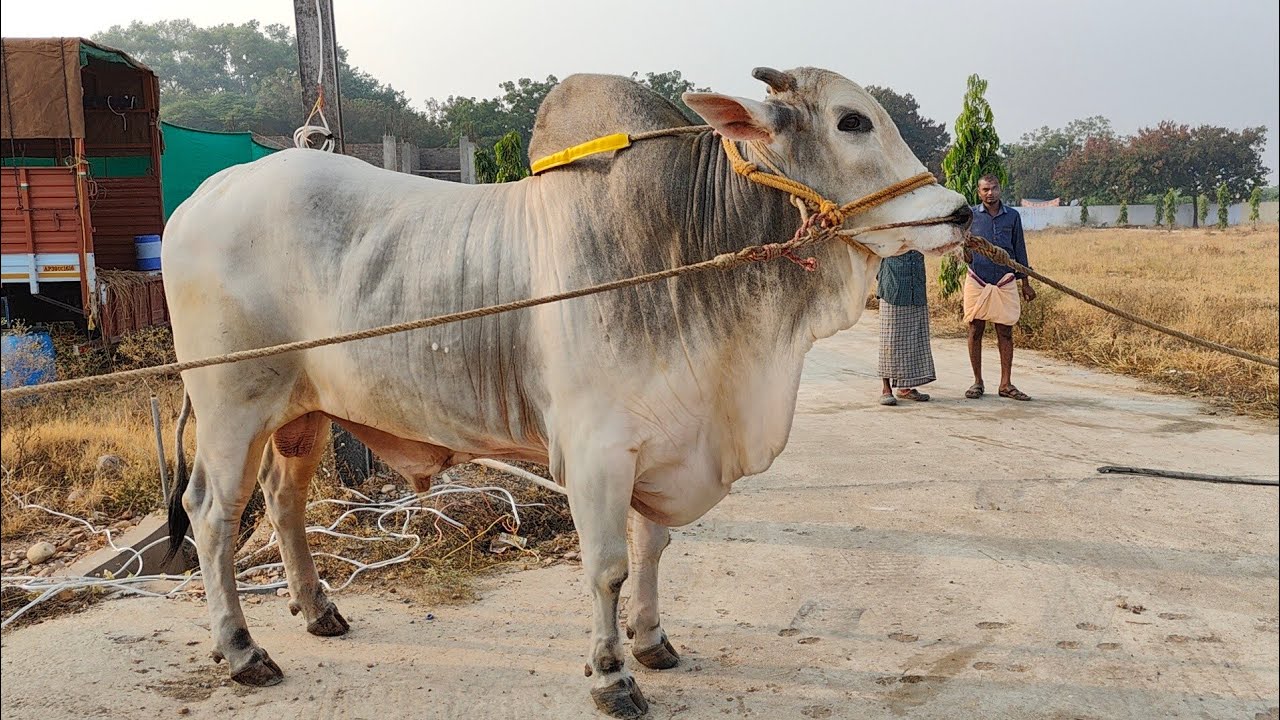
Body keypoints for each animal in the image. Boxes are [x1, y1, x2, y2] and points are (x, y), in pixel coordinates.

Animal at [161, 66, 970, 718]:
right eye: (851, 120)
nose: (960, 211)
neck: (686, 245)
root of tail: (205, 194)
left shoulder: (657, 441)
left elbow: (653, 546)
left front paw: (652, 642)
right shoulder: (596, 450)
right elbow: (608, 565)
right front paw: (612, 676)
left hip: (302, 413)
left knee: (283, 500)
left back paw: (316, 608)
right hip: (232, 408)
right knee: (212, 514)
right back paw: (242, 650)